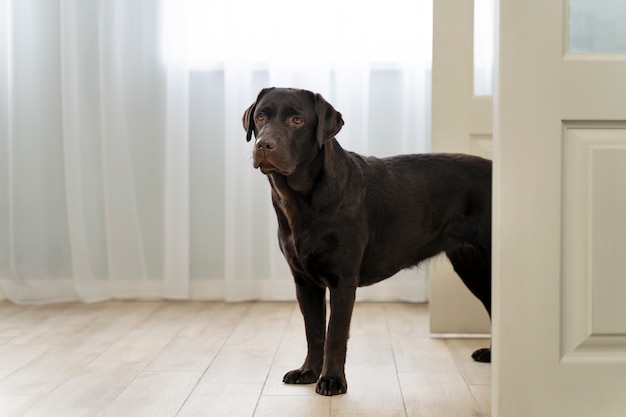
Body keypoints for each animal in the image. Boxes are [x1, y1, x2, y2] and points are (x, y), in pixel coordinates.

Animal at [241, 87, 490, 394]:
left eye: (297, 120)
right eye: (261, 116)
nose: (264, 145)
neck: (300, 201)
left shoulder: (343, 279)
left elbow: (335, 333)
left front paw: (332, 380)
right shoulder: (305, 282)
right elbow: (314, 331)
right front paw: (308, 371)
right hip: (472, 265)